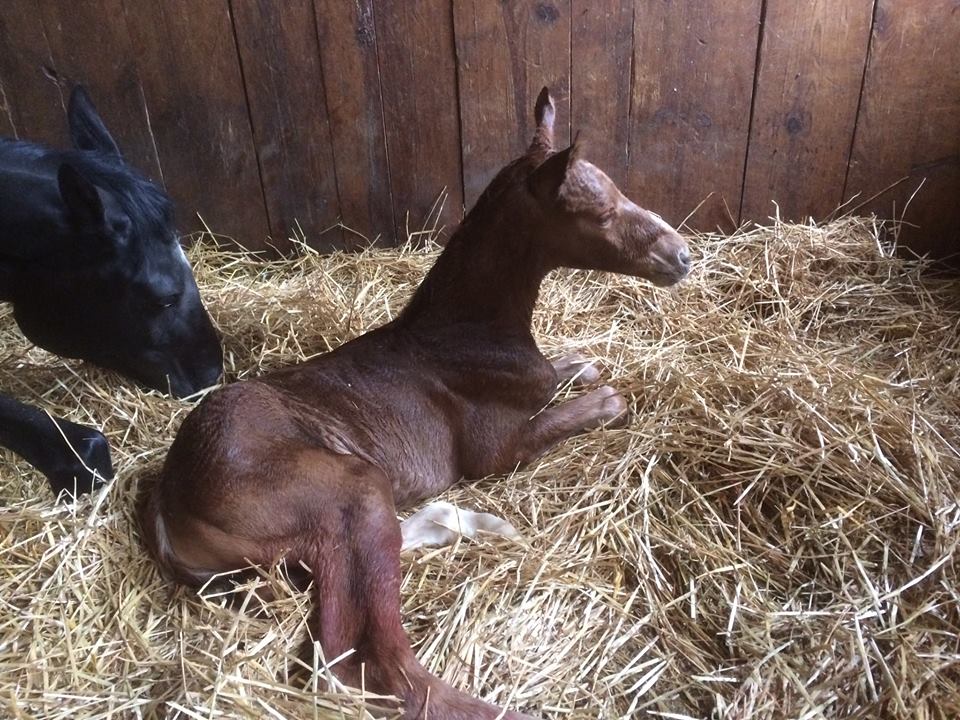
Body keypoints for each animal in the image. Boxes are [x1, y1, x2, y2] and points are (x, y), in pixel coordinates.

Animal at [137, 87, 690, 719]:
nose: (681, 256)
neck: (463, 332)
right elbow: (599, 401)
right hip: (347, 488)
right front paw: (608, 397)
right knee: (358, 661)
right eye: (599, 212)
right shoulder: (496, 453)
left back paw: (465, 523)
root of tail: (166, 503)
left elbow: (571, 369)